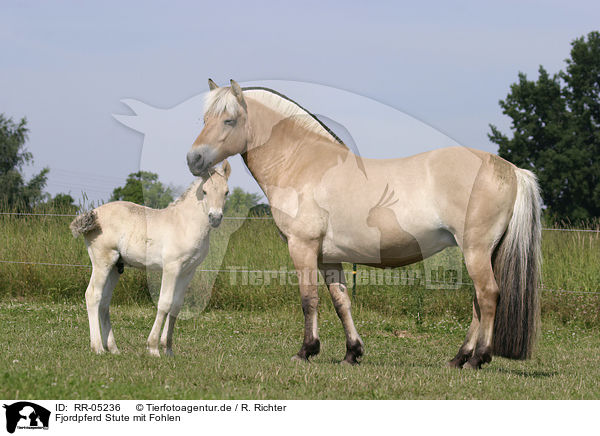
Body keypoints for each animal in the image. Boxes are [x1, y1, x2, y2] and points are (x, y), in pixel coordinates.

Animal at [70, 162, 230, 356]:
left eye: (226, 192)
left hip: (116, 266)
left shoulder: (188, 271)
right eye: (205, 191)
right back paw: (98, 347)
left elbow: (176, 306)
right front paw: (153, 348)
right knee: (93, 295)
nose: (215, 218)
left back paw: (113, 348)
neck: (185, 223)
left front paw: (168, 349)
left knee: (104, 302)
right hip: (103, 262)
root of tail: (92, 214)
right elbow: (165, 303)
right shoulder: (171, 267)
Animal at [185, 78, 540, 368]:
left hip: (475, 250)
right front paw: (352, 353)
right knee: (478, 302)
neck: (303, 163)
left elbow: (308, 299)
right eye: (204, 120)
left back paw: (478, 358)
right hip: (481, 252)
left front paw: (306, 351)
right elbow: (341, 301)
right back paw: (459, 358)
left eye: (229, 120)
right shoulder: (328, 257)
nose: (193, 159)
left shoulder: (303, 247)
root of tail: (511, 169)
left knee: (488, 296)